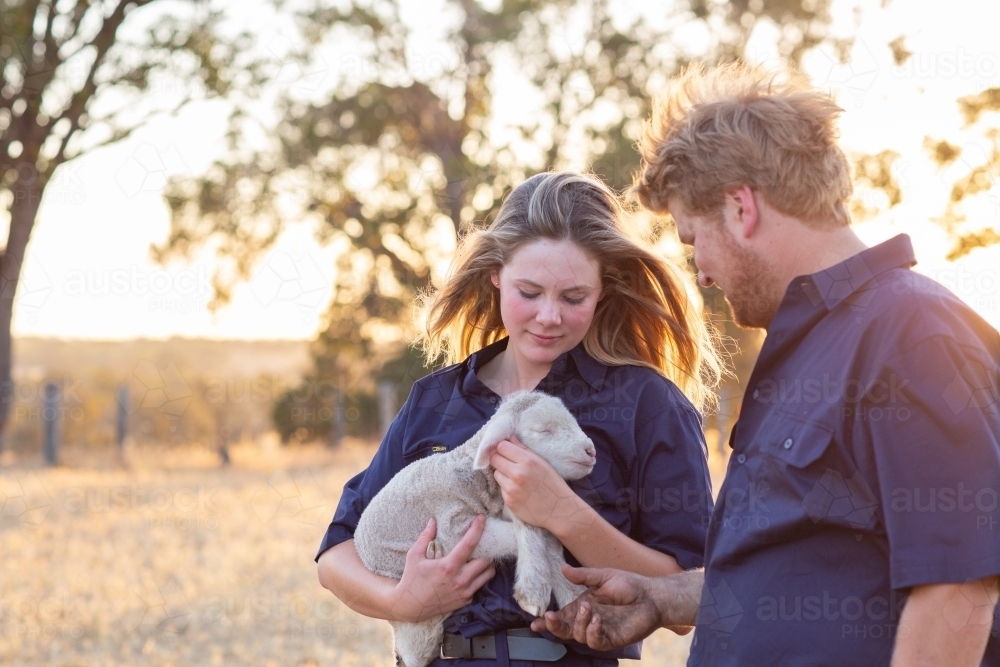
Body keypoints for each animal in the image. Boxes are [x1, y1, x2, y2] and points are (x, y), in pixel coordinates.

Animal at [356, 388, 596, 667]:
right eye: (543, 430)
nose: (591, 451)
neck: (476, 478)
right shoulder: (454, 526)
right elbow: (530, 533)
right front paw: (534, 589)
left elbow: (544, 534)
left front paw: (572, 595)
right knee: (419, 648)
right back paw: (432, 555)